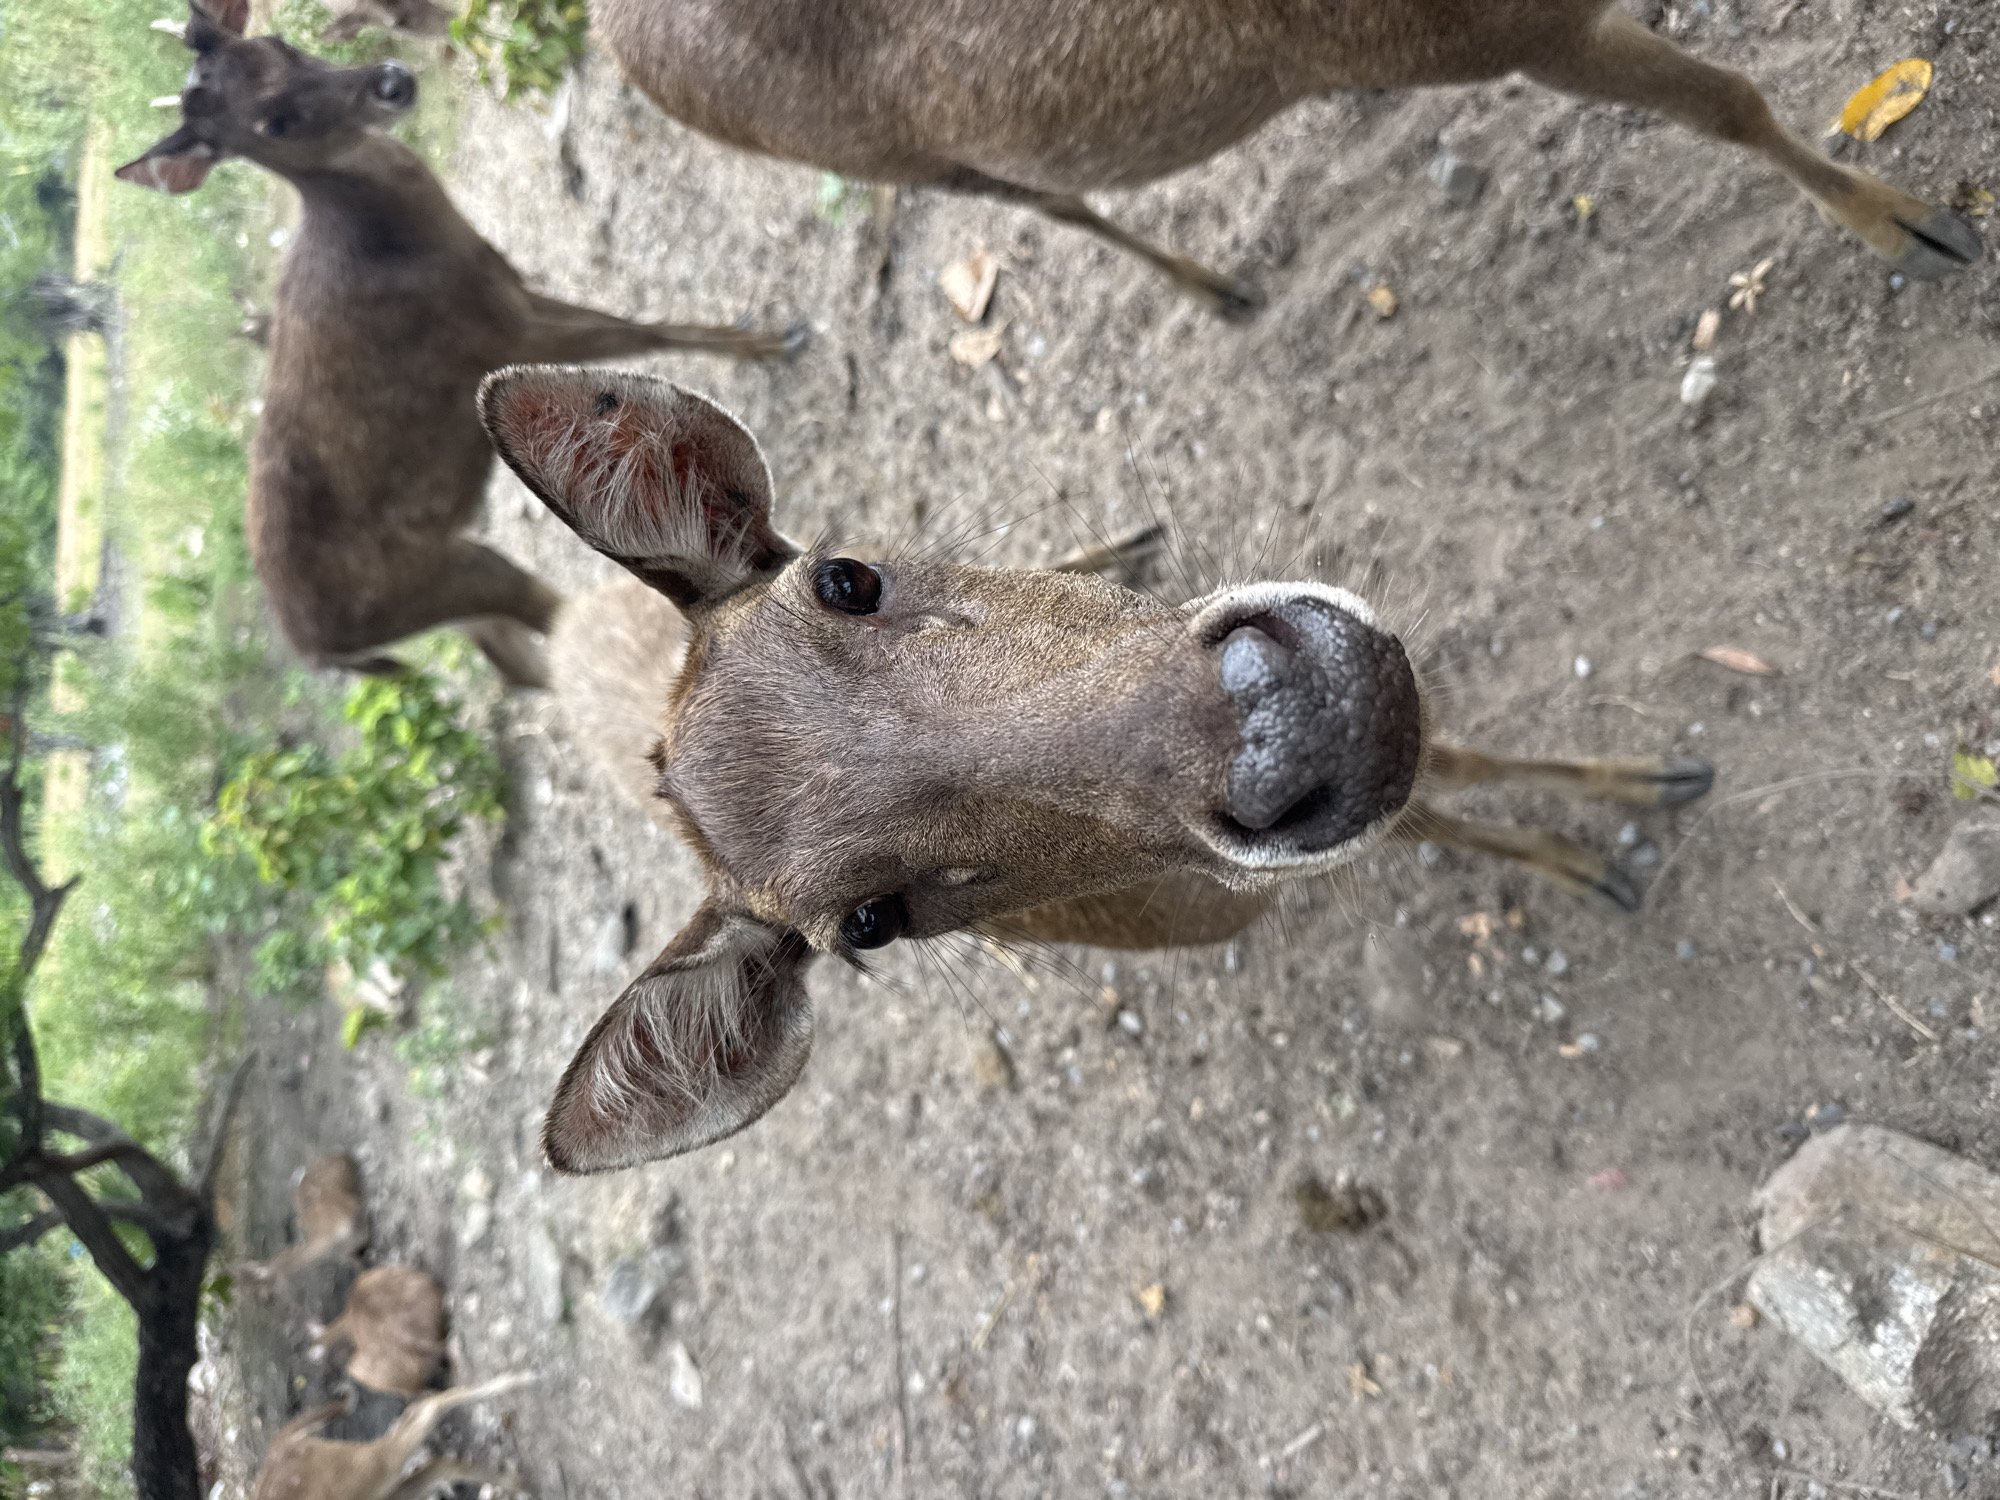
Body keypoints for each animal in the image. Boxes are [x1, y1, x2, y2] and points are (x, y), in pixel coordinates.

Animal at [114, 0, 800, 689]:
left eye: (278, 43)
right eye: (272, 124)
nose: (389, 82)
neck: (411, 246)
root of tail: (318, 652)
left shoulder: (510, 291)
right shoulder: (487, 334)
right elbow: (640, 333)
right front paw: (770, 341)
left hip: (461, 591)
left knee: (519, 665)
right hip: (447, 580)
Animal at [250, 1373, 531, 1500]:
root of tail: (280, 1448)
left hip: (373, 1469)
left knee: (427, 1406)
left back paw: (519, 1379)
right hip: (380, 1487)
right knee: (438, 1465)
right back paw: (516, 1483)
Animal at [476, 365, 1717, 1175]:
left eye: (844, 577)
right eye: (871, 922)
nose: (1303, 720)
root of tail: (561, 627)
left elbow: (1459, 763)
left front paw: (1643, 784)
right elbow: (1443, 811)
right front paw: (1595, 853)